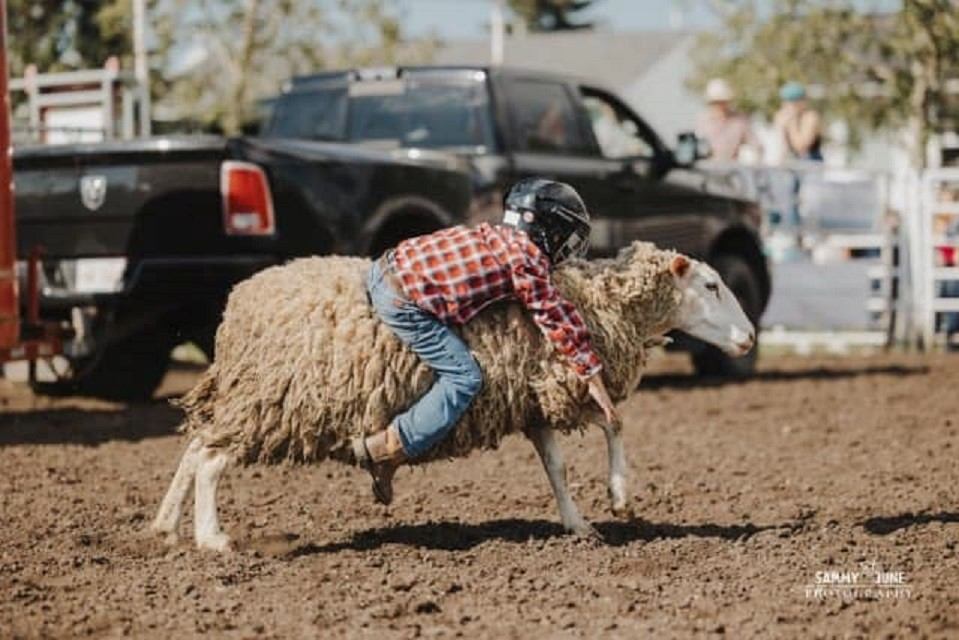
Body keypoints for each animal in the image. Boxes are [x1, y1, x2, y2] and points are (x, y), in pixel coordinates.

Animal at [151, 241, 755, 551]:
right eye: (711, 286)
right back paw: (211, 538)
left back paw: (165, 526)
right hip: (273, 401)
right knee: (210, 460)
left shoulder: (533, 397)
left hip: (247, 398)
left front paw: (578, 523)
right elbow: (613, 421)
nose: (750, 338)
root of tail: (238, 307)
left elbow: (557, 466)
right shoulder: (558, 376)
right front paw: (620, 495)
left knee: (197, 445)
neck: (592, 297)